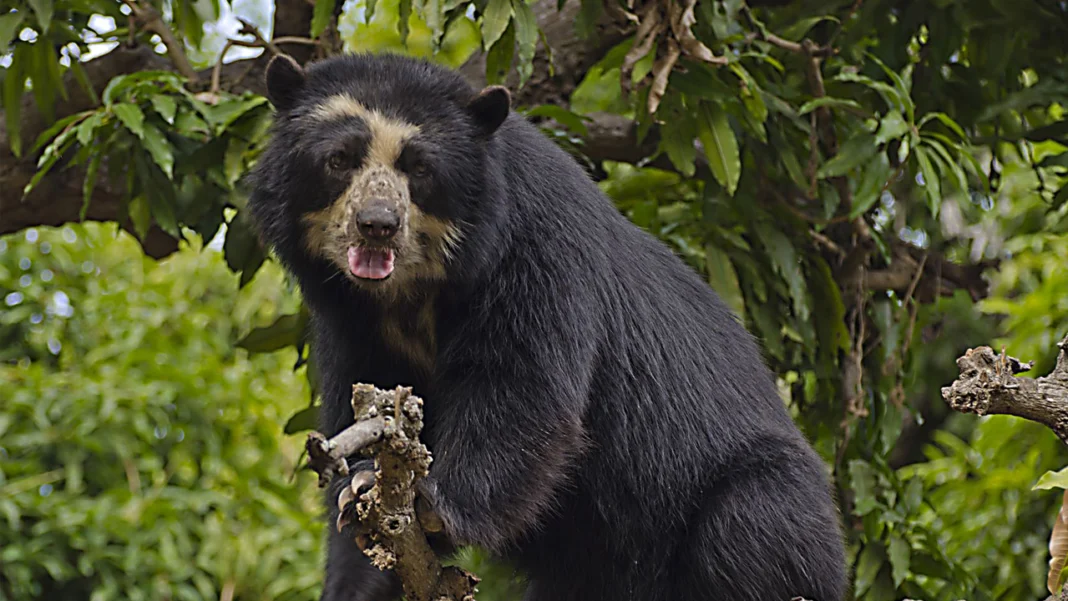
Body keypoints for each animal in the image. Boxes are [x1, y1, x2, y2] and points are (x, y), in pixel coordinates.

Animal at [246, 51, 848, 601]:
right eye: (339, 159)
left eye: (419, 168)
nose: (377, 225)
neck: (412, 293)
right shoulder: (349, 323)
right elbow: (364, 405)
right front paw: (362, 506)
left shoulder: (535, 250)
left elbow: (522, 389)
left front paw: (432, 505)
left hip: (757, 499)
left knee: (747, 527)